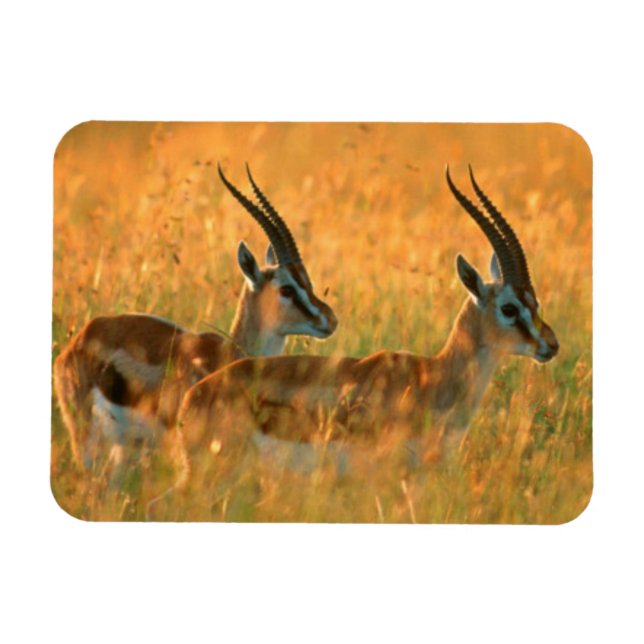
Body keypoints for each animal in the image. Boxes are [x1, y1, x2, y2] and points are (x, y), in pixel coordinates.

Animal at [53, 164, 338, 473]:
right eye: (287, 288)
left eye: (308, 281)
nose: (330, 319)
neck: (229, 354)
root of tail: (80, 338)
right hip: (87, 441)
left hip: (121, 449)